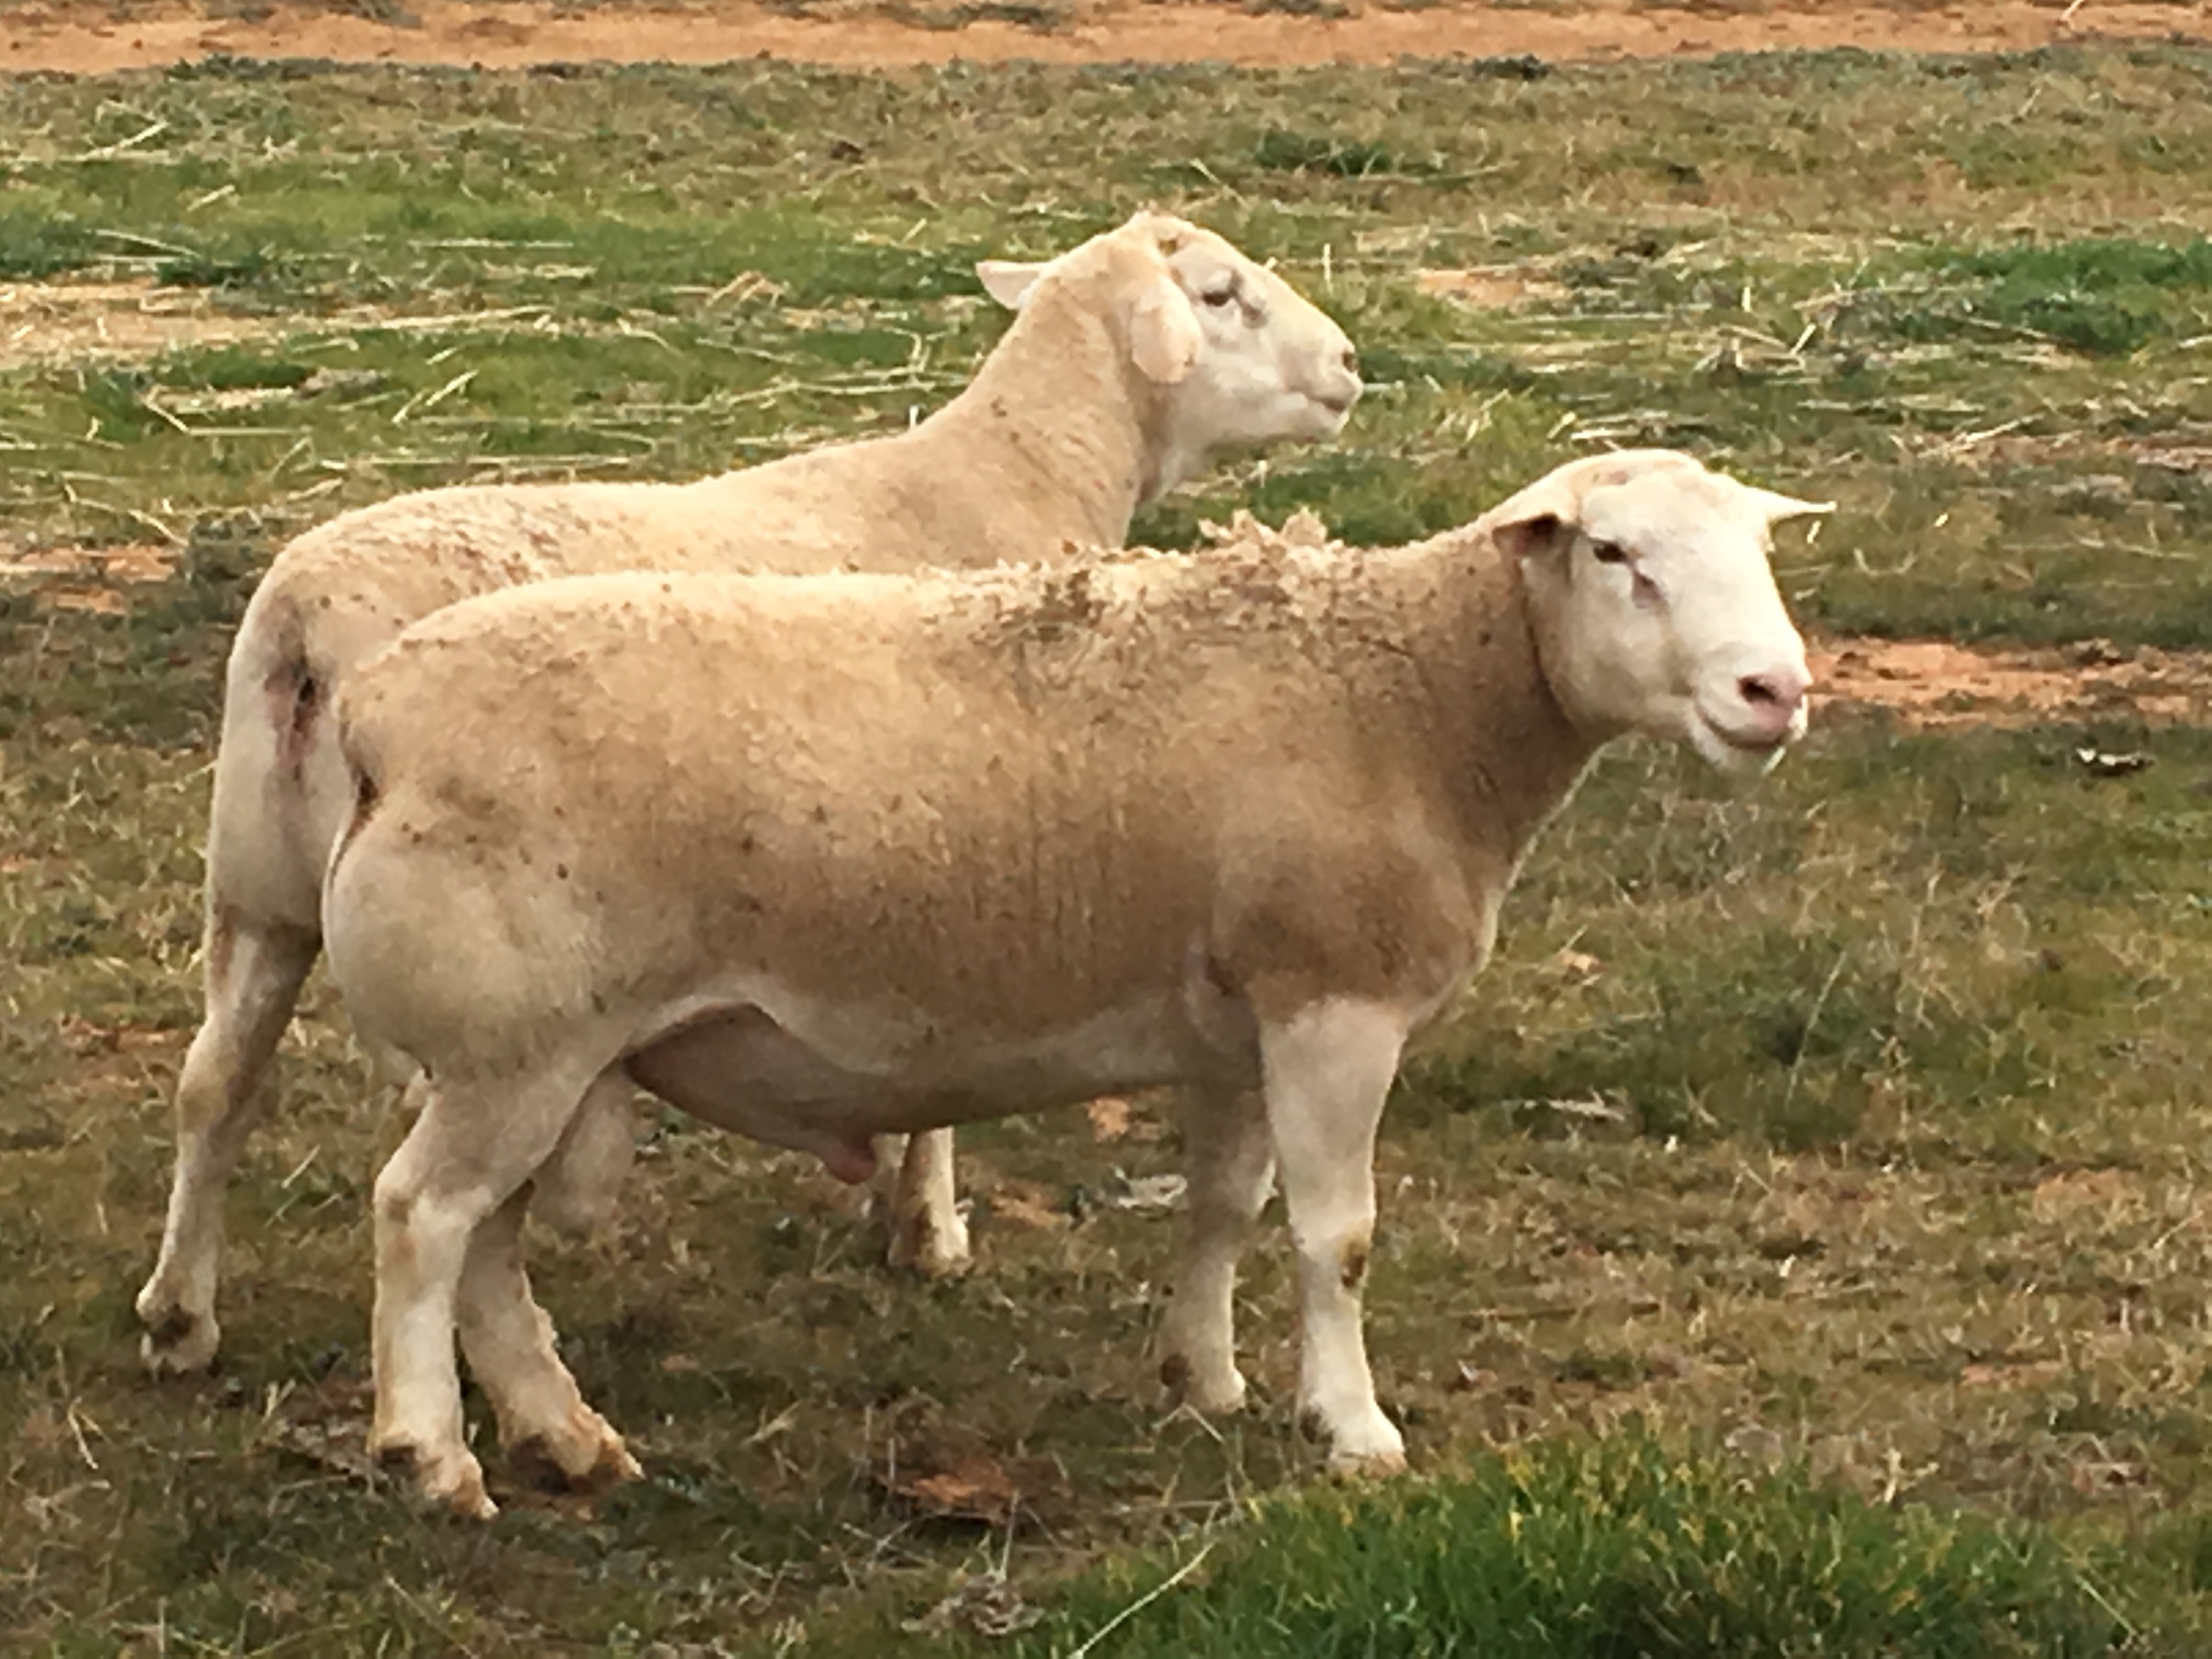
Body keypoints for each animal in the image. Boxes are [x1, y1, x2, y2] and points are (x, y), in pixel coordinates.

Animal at [134, 210, 1364, 1377]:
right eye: (1221, 294)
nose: (1351, 364)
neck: (1011, 473)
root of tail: (302, 624)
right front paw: (929, 1228)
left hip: (256, 887)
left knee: (214, 1085)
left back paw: (181, 1315)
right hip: (479, 947)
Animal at [318, 448, 1826, 1517]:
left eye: (1758, 550)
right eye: (1615, 553)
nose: (1776, 692)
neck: (1414, 696)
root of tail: (381, 717)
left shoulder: (1242, 1021)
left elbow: (1225, 1210)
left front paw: (1206, 1379)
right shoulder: (1333, 1002)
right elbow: (1336, 1238)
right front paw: (1353, 1429)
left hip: (525, 1050)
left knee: (489, 1244)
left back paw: (565, 1438)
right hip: (514, 1039)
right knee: (423, 1221)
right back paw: (432, 1457)